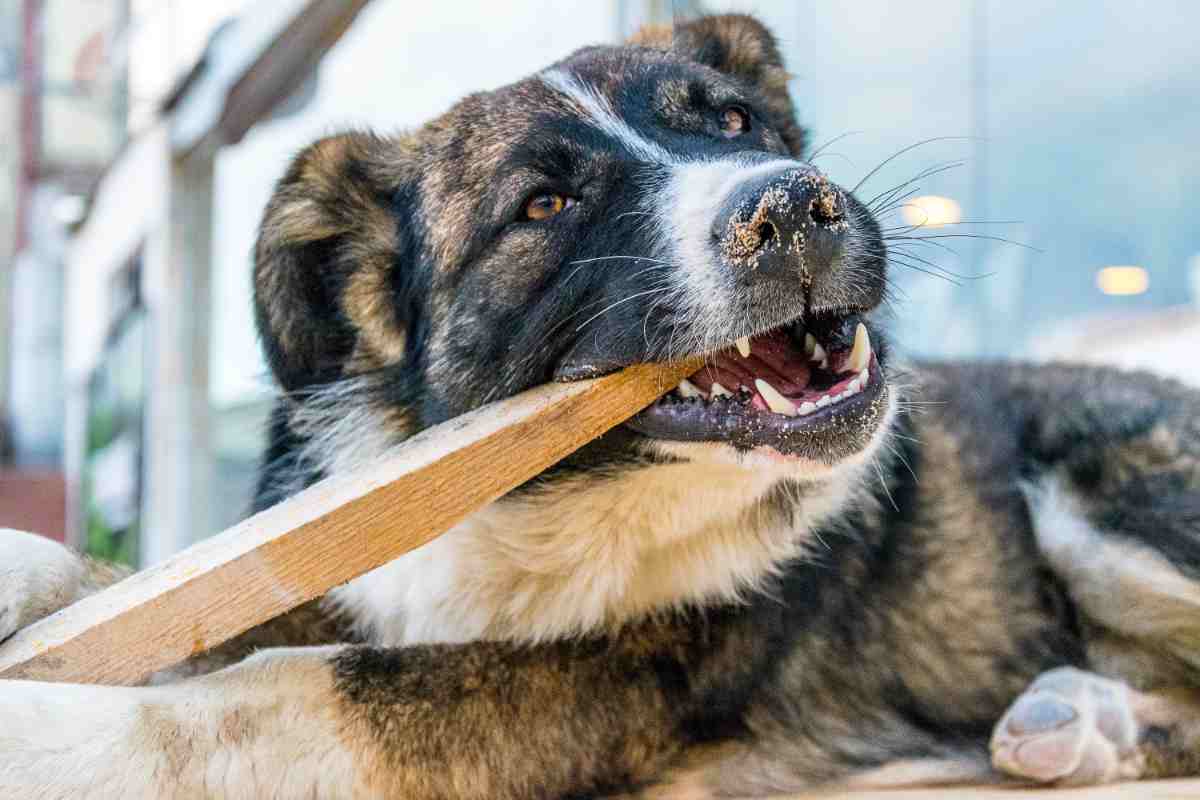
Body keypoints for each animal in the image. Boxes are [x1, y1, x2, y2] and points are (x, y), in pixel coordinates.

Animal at [2, 14, 1200, 800]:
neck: (556, 496)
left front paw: (39, 727)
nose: (794, 207)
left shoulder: (617, 684)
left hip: (1105, 498)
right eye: (544, 203)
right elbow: (175, 596)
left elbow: (288, 691)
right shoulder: (387, 583)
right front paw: (28, 578)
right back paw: (1078, 719)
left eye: (737, 121)